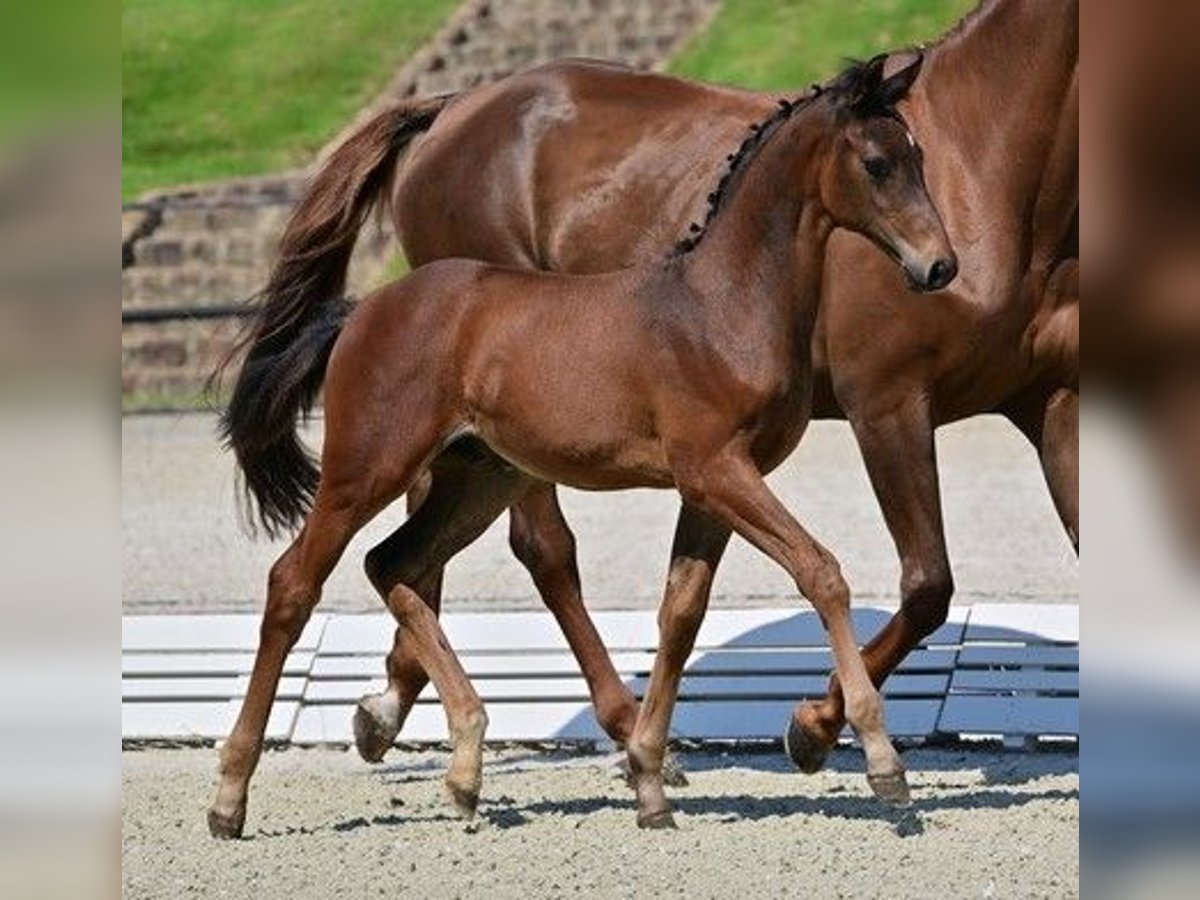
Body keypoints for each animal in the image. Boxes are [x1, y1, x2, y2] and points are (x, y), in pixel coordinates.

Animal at [211, 56, 950, 840]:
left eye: (918, 156)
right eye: (876, 163)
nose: (941, 266)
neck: (723, 304)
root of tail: (362, 310)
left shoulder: (712, 487)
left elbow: (680, 615)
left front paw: (650, 782)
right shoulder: (716, 469)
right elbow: (822, 572)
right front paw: (883, 763)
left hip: (477, 481)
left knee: (393, 565)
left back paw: (464, 768)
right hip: (365, 469)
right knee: (294, 584)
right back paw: (230, 797)